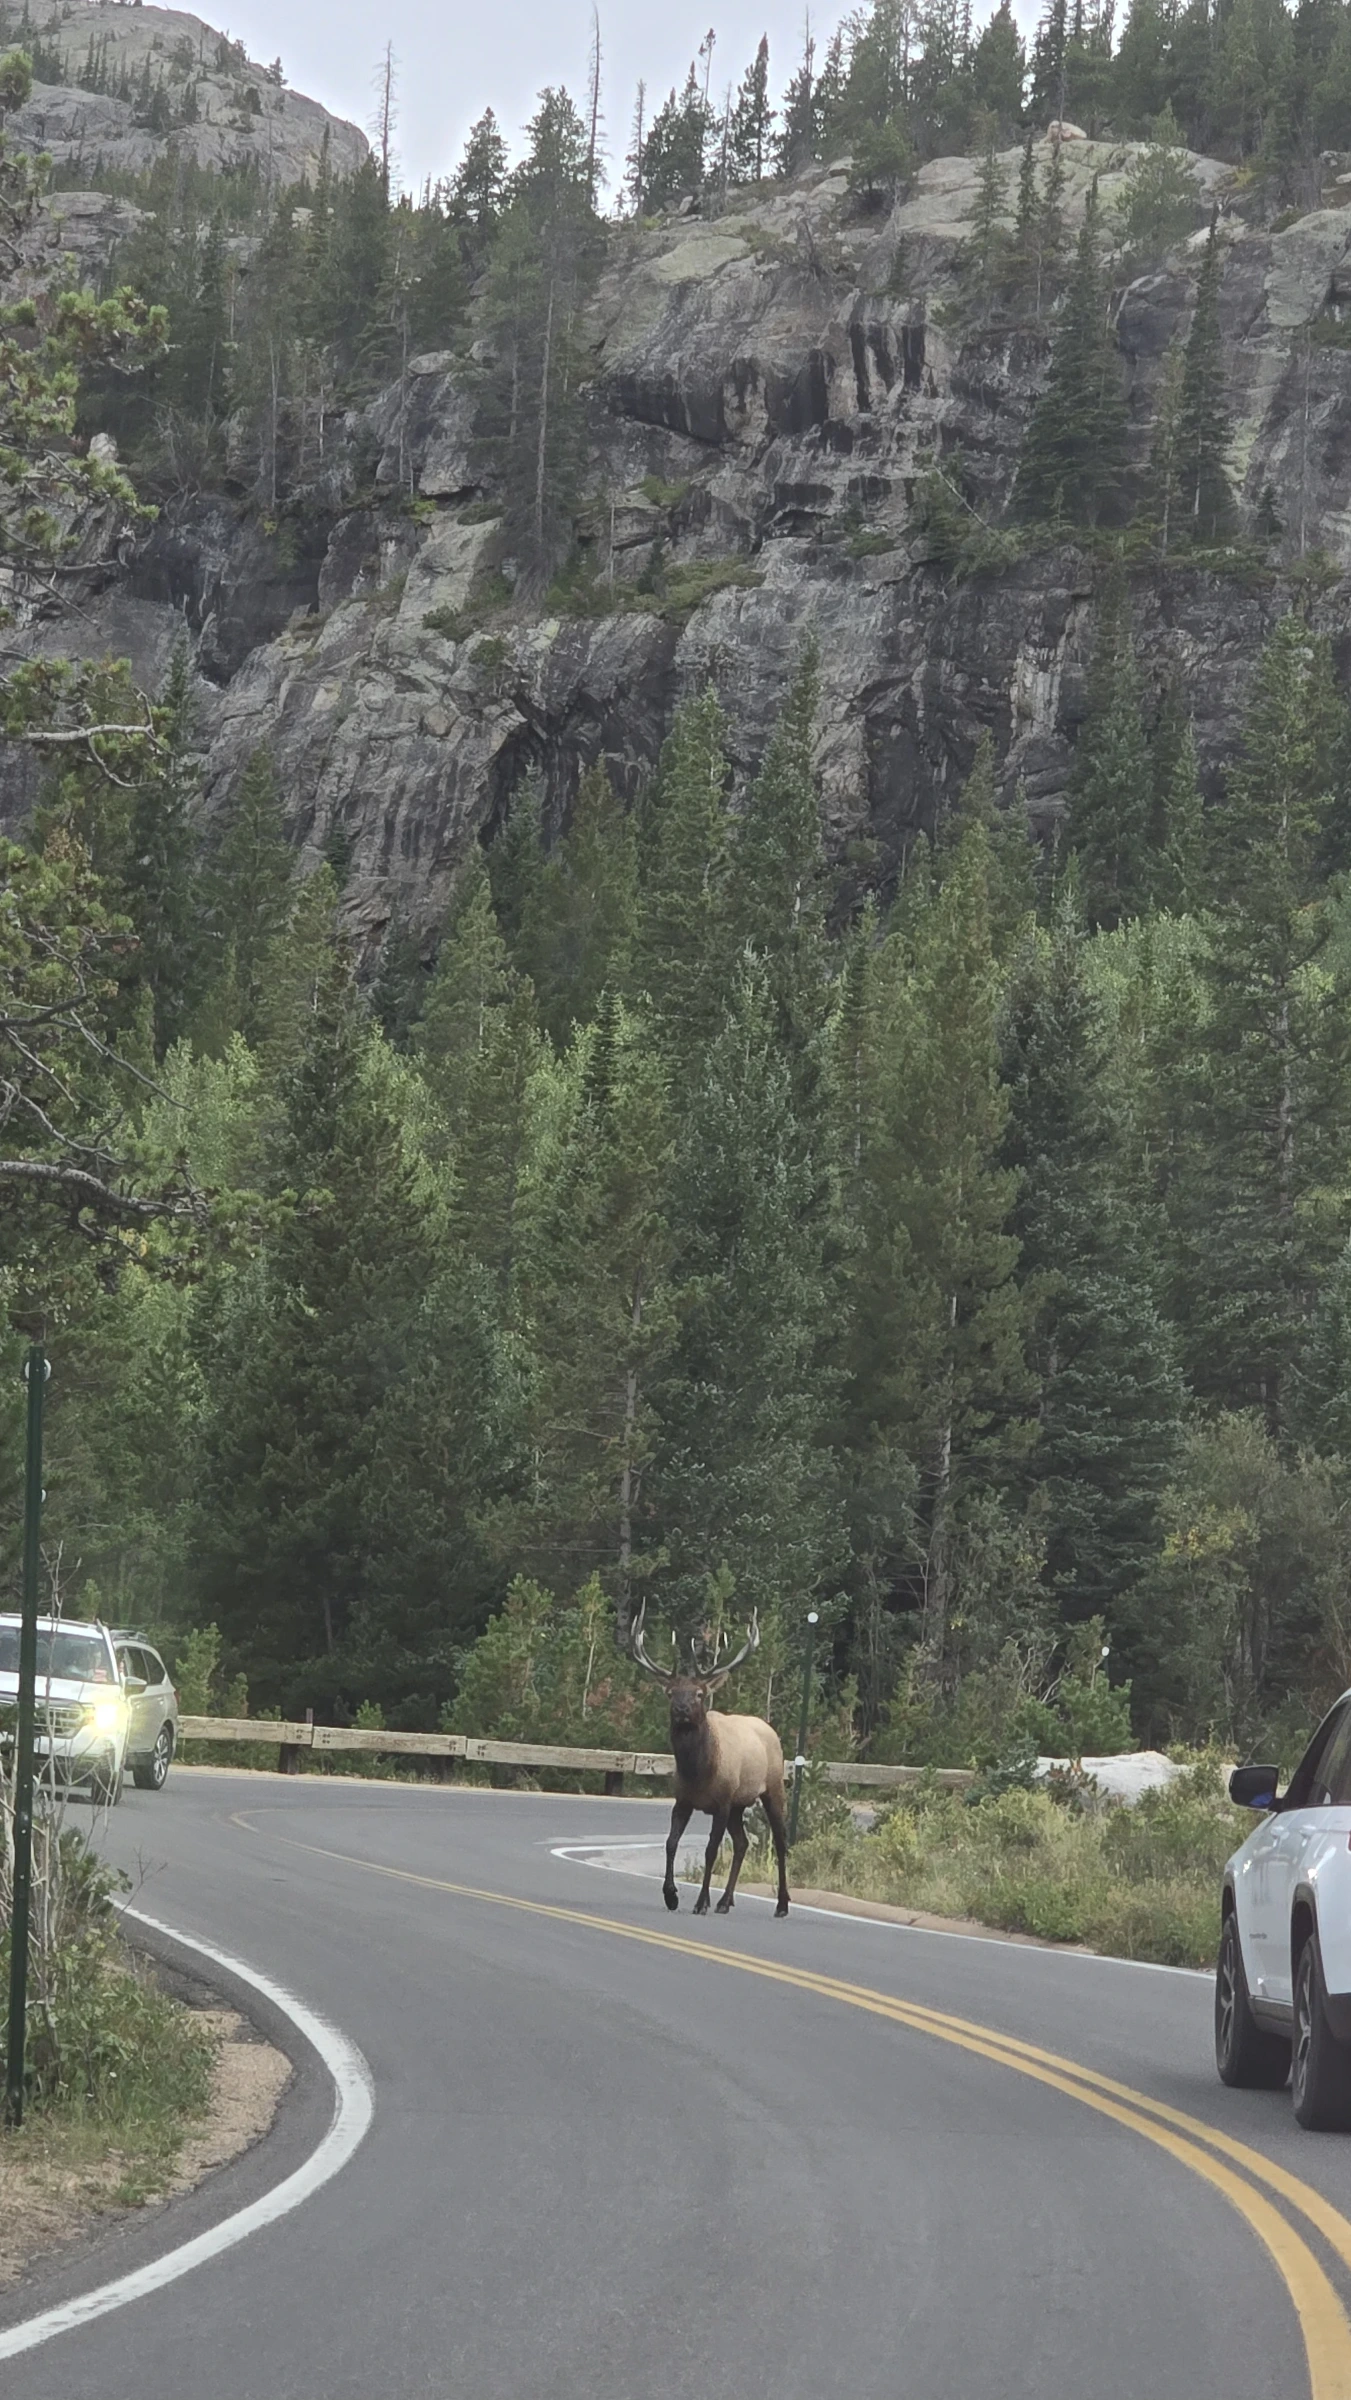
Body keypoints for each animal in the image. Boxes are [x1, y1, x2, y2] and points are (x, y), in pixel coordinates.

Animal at [629, 1602, 791, 1918]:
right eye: (671, 1692)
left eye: (699, 1693)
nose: (681, 1708)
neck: (699, 1772)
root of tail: (770, 1729)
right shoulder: (683, 1800)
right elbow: (670, 1843)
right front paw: (671, 1895)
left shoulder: (722, 1801)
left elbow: (711, 1850)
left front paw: (700, 1902)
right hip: (740, 1804)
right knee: (743, 1843)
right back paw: (725, 1901)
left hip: (772, 1788)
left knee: (779, 1841)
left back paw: (781, 1904)